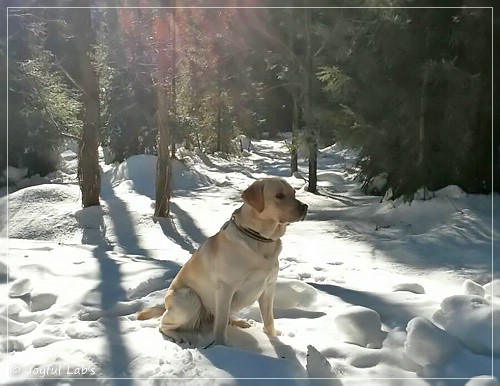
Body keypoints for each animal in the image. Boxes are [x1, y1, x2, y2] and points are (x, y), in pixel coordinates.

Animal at [138, 176, 308, 346]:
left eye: (293, 193)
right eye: (279, 195)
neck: (259, 238)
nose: (305, 207)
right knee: (163, 324)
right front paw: (222, 347)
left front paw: (274, 340)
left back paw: (239, 322)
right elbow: (220, 325)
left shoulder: (268, 287)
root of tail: (165, 305)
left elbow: (269, 320)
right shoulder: (225, 289)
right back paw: (180, 336)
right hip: (190, 298)